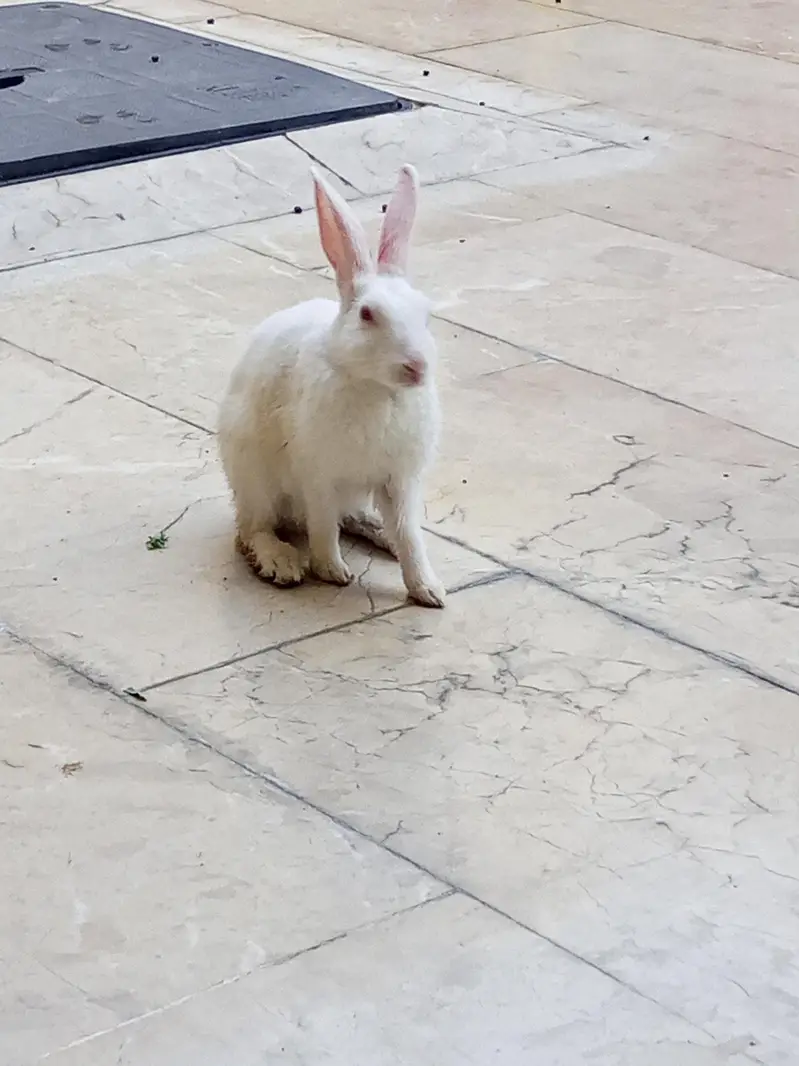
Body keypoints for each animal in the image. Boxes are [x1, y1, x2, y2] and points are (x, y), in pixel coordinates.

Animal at [217, 163, 446, 609]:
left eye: (426, 314)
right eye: (368, 315)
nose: (417, 367)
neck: (376, 389)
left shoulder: (400, 480)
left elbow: (409, 533)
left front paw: (429, 590)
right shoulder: (318, 474)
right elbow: (323, 525)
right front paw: (332, 572)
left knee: (354, 518)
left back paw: (381, 537)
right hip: (255, 477)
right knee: (253, 529)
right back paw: (282, 563)